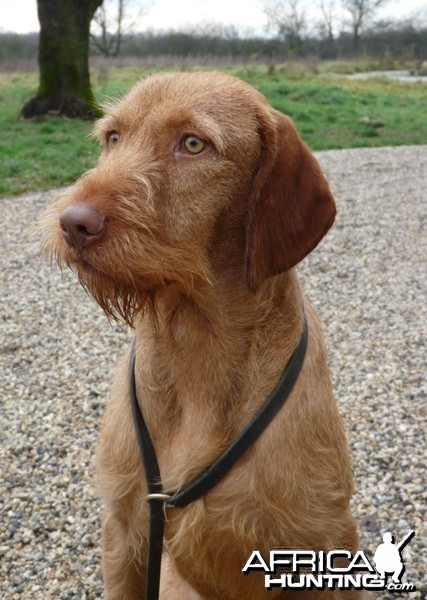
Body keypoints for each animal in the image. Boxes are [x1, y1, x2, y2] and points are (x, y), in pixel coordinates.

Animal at [41, 72, 368, 596]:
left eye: (193, 144)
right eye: (113, 138)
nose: (73, 222)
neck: (194, 337)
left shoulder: (323, 538)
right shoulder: (125, 529)